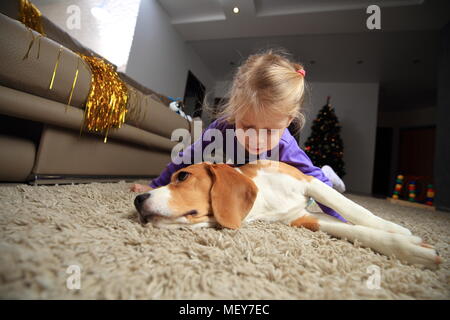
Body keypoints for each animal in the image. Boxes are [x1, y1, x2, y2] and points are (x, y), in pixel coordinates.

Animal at [134, 161, 442, 268]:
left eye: (183, 176)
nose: (137, 200)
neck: (264, 201)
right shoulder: (303, 220)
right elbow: (352, 230)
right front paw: (408, 247)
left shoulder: (310, 182)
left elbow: (354, 209)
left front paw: (397, 230)